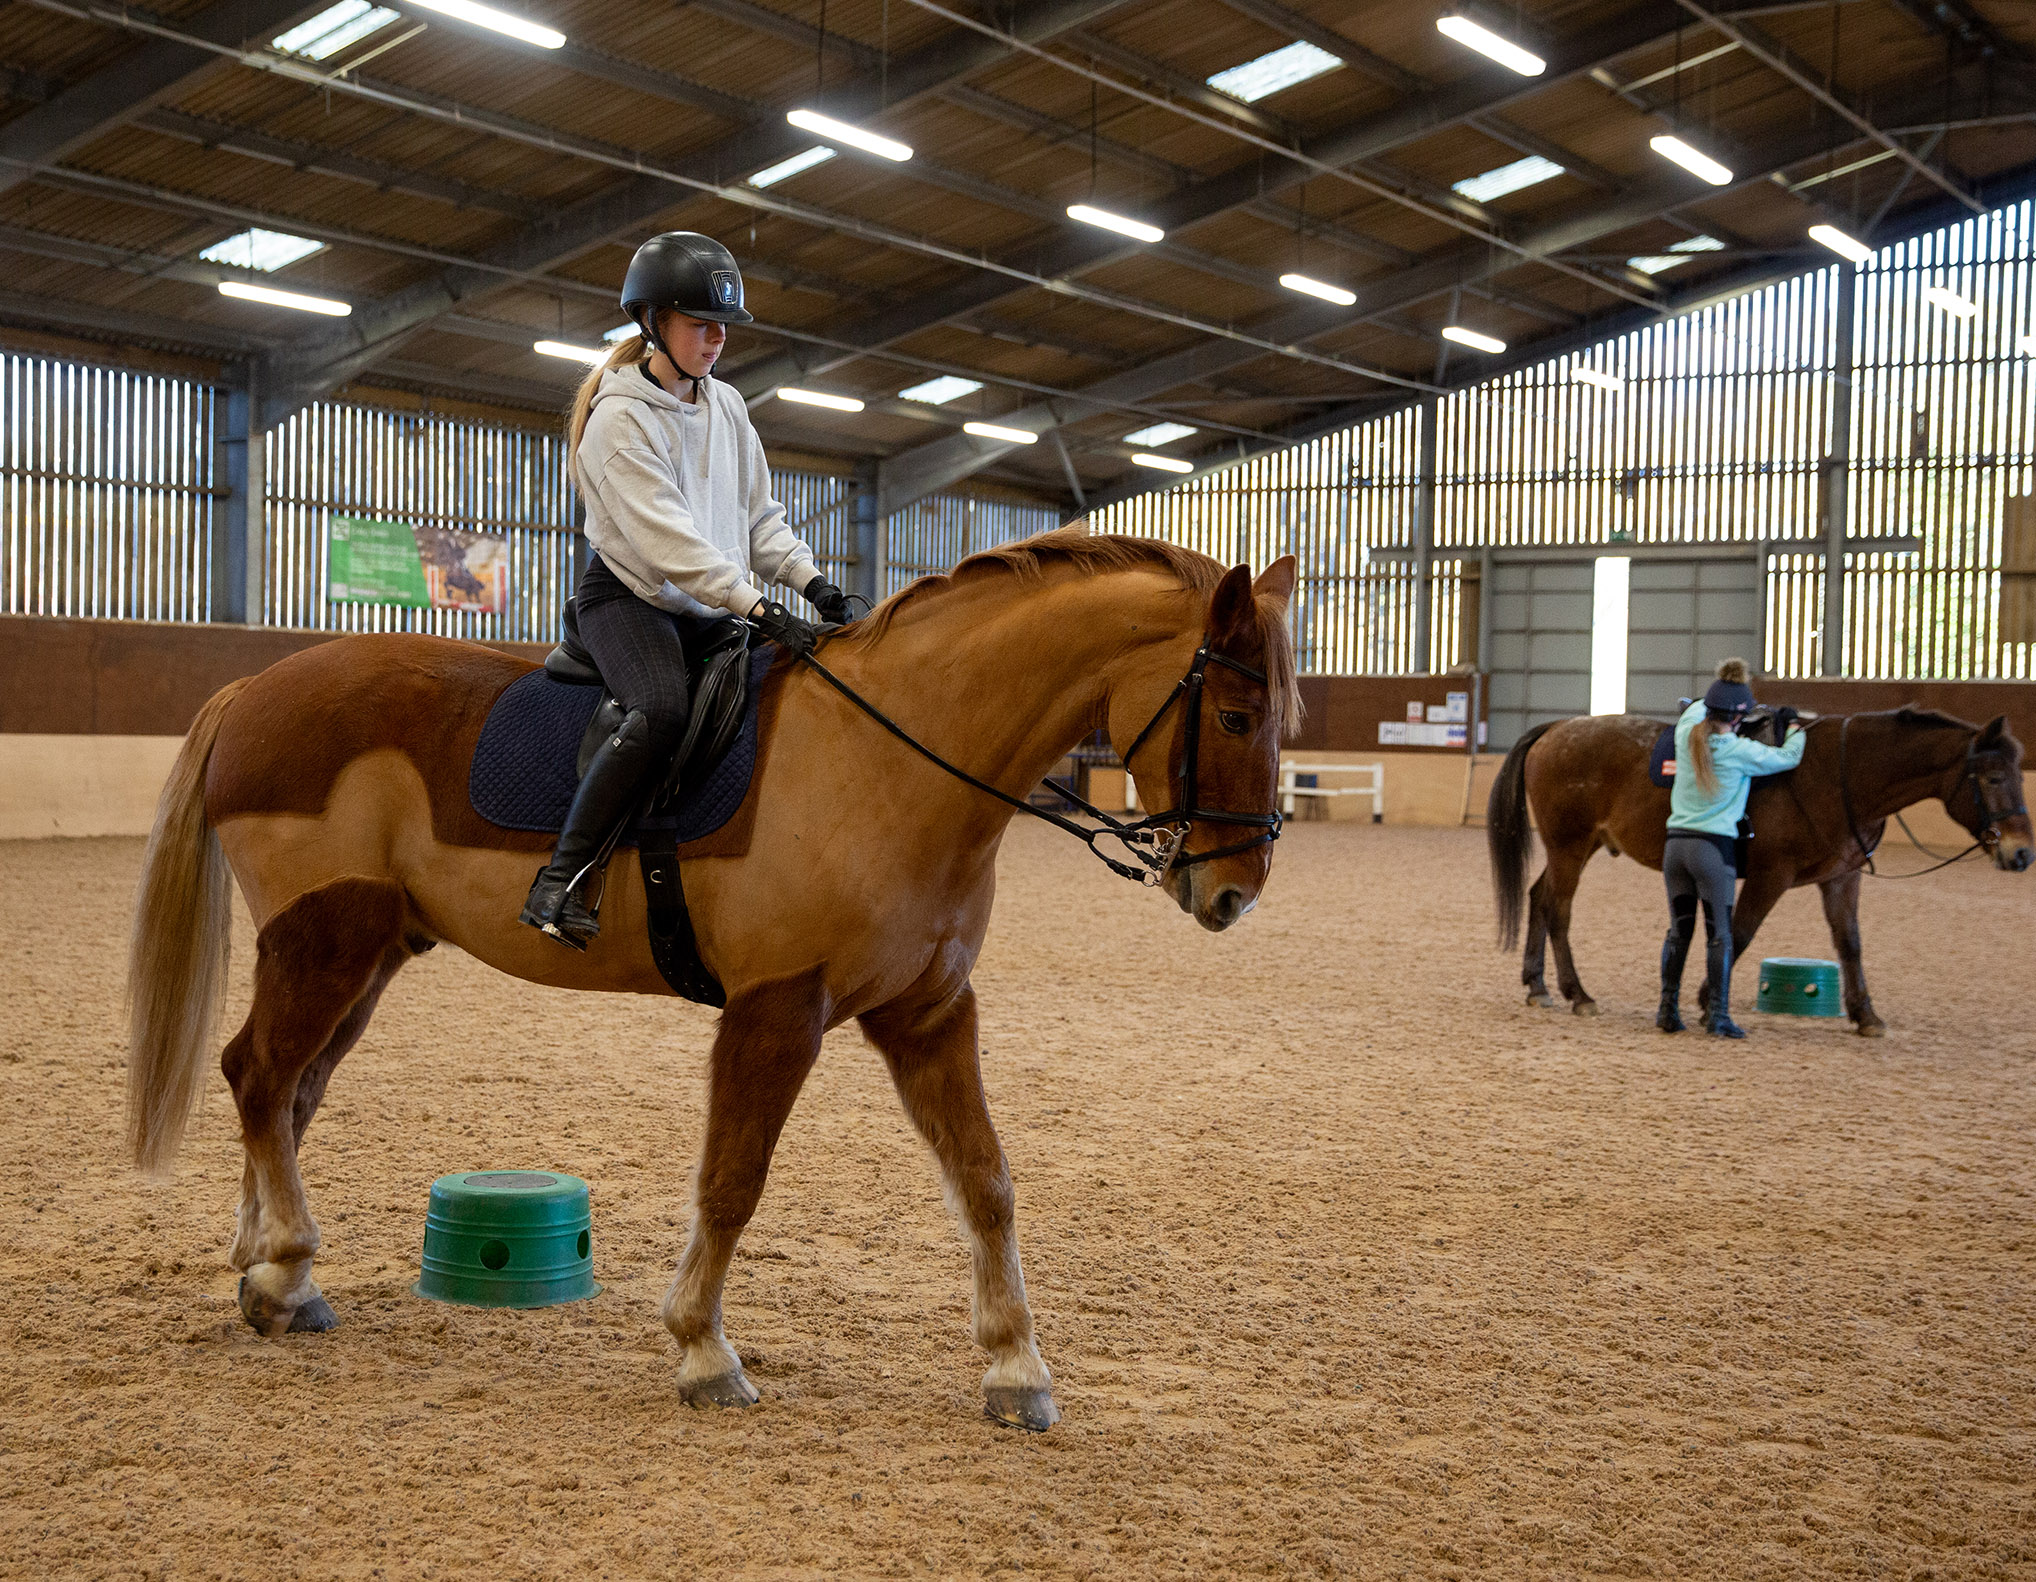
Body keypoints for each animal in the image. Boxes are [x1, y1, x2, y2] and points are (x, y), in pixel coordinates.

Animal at [124, 529, 1301, 1431]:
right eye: (1236, 716)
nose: (1235, 892)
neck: (892, 761)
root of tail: (257, 685)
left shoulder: (927, 1015)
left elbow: (986, 1180)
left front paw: (1015, 1369)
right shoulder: (777, 1011)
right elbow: (733, 1182)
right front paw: (703, 1352)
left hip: (365, 955)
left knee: (290, 1091)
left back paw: (271, 1275)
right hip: (322, 939)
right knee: (259, 1076)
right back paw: (285, 1263)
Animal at [1486, 708, 2032, 1034]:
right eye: (1993, 777)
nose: (2022, 853)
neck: (1835, 774)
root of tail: (1557, 728)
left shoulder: (1842, 877)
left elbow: (1850, 944)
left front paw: (1866, 1015)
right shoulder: (1772, 875)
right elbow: (1741, 933)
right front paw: (1708, 1000)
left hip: (1579, 847)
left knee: (1539, 898)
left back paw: (1537, 986)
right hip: (1570, 846)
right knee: (1559, 910)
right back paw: (1577, 994)